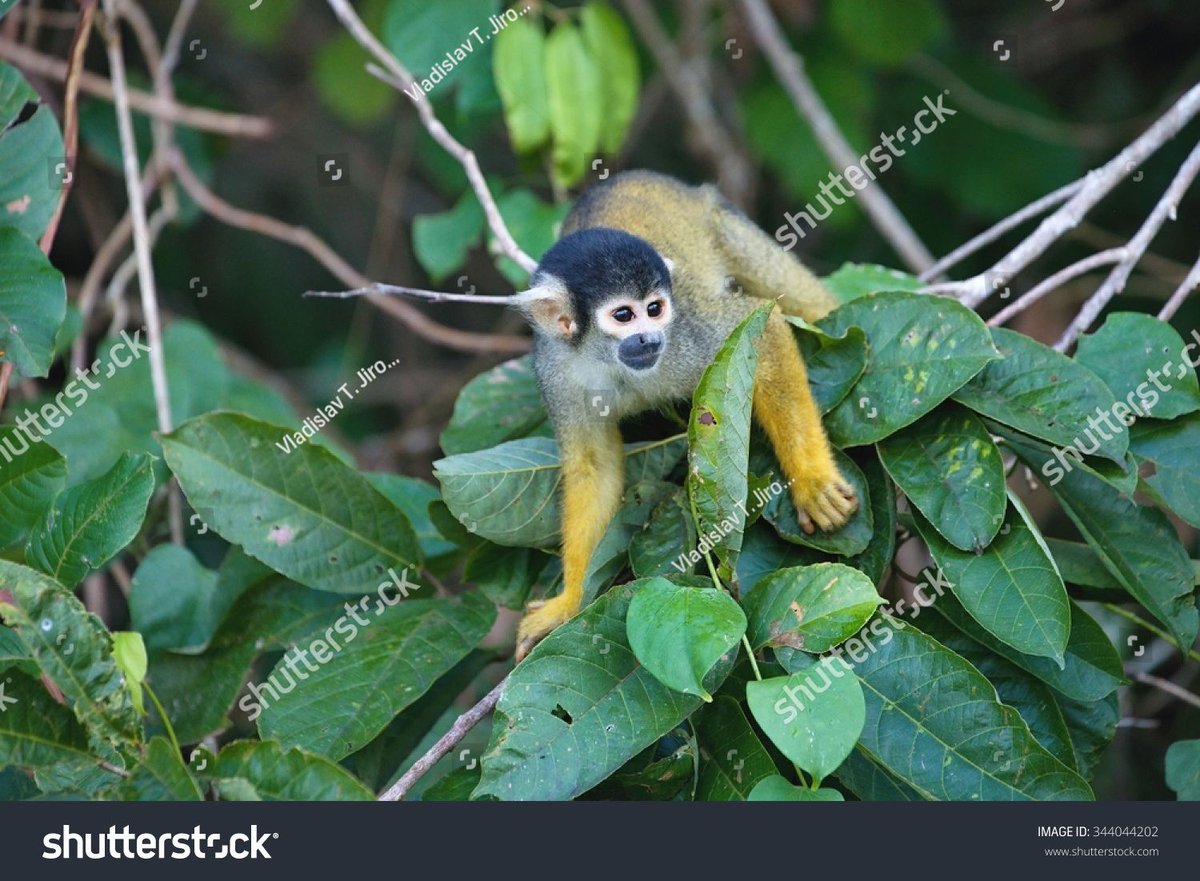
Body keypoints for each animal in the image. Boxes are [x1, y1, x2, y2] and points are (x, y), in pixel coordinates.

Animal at [510, 171, 857, 659]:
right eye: (624, 315)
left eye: (655, 309)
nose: (649, 338)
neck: (611, 361)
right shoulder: (556, 371)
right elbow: (593, 468)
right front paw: (569, 602)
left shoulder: (686, 332)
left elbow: (762, 326)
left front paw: (812, 483)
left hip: (720, 220)